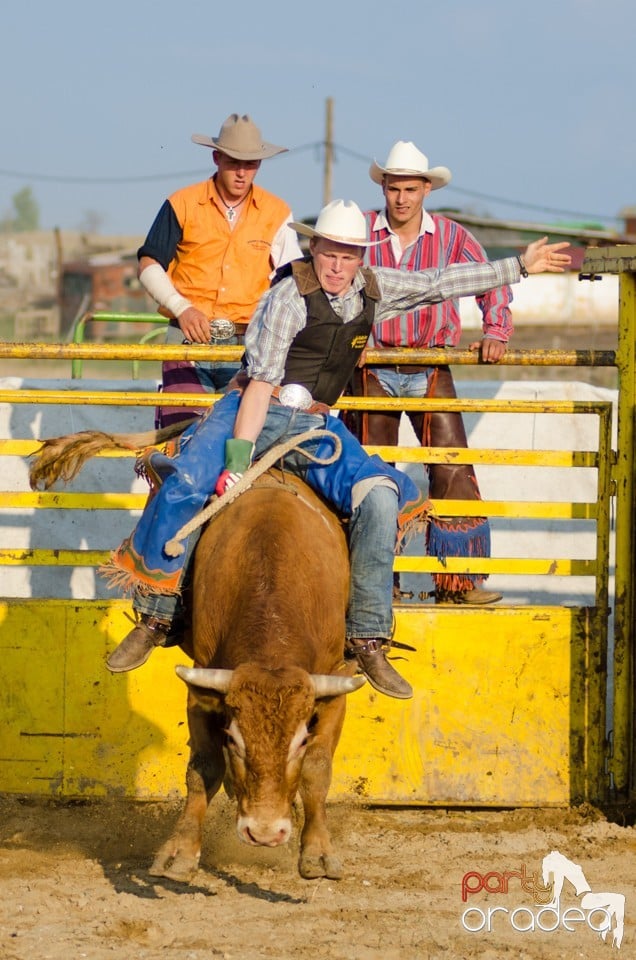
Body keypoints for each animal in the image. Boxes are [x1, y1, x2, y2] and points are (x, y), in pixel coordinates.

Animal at [150, 468, 366, 880]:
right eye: (234, 739)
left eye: (300, 741)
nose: (264, 834)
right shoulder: (201, 690)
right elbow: (204, 767)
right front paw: (181, 850)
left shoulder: (335, 686)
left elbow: (316, 770)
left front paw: (317, 850)